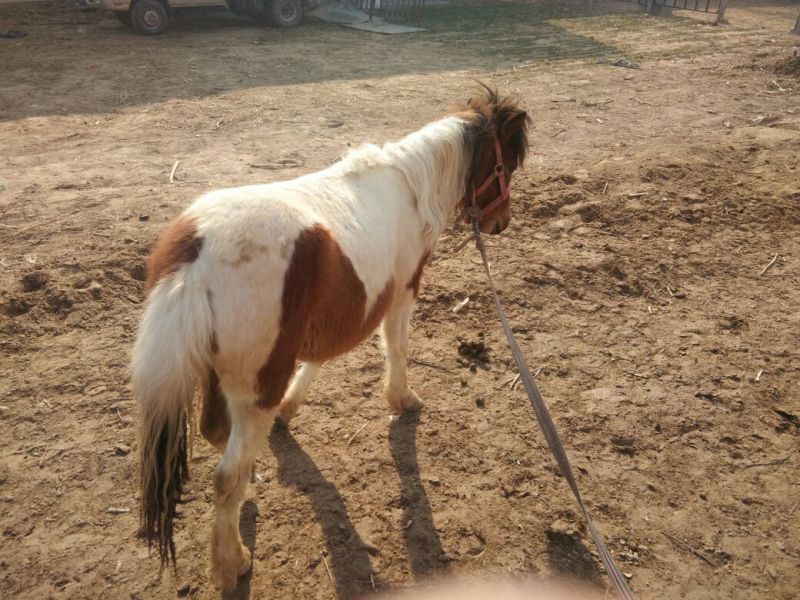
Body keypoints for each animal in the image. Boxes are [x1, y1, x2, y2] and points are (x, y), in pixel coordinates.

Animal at [131, 87, 529, 589]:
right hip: (255, 385)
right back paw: (232, 562)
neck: (411, 186)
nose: (502, 223)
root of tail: (195, 257)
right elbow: (397, 347)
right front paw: (402, 399)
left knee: (216, 437)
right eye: (505, 164)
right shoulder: (402, 291)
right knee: (226, 475)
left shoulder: (330, 316)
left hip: (218, 377)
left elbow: (319, 357)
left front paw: (291, 408)